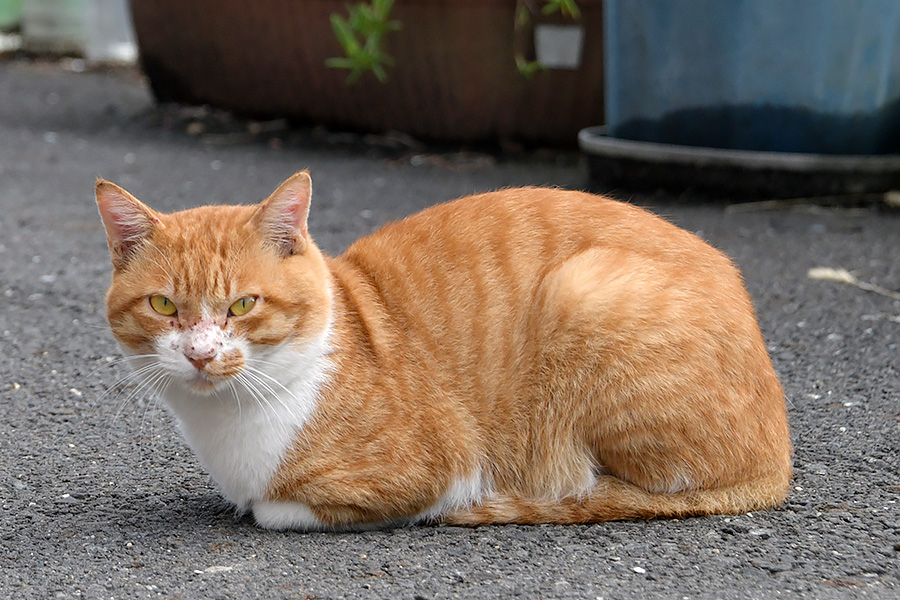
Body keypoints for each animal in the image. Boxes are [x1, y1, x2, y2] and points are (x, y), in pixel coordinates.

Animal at [95, 170, 792, 528]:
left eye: (242, 306)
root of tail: (779, 460)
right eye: (164, 306)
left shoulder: (433, 468)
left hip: (584, 290)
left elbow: (273, 509)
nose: (200, 354)